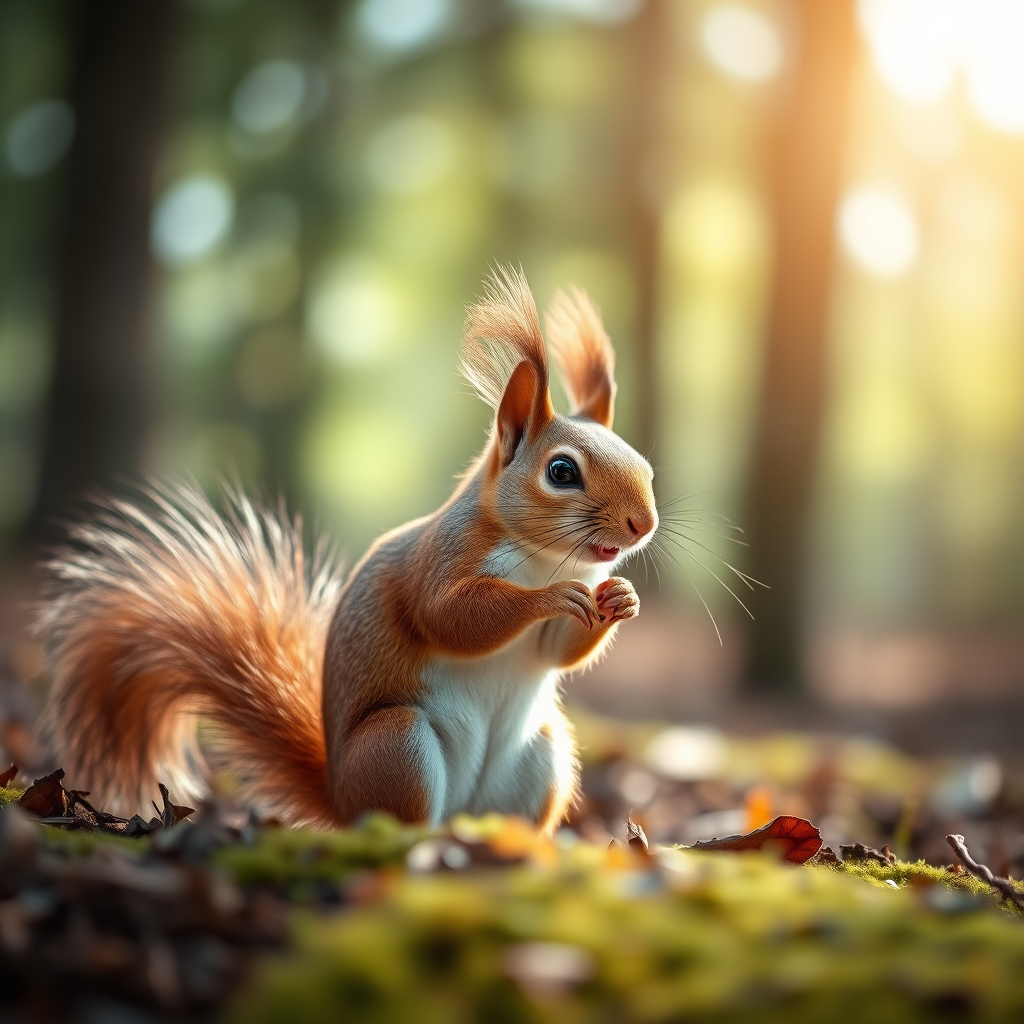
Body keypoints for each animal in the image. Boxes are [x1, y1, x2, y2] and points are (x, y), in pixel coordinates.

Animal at [36, 266, 658, 833]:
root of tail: (340, 801)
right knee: (403, 821)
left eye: (646, 466)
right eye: (561, 472)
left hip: (542, 754)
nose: (644, 523)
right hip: (397, 748)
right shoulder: (441, 561)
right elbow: (452, 616)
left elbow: (558, 651)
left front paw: (621, 600)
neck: (543, 559)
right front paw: (549, 599)